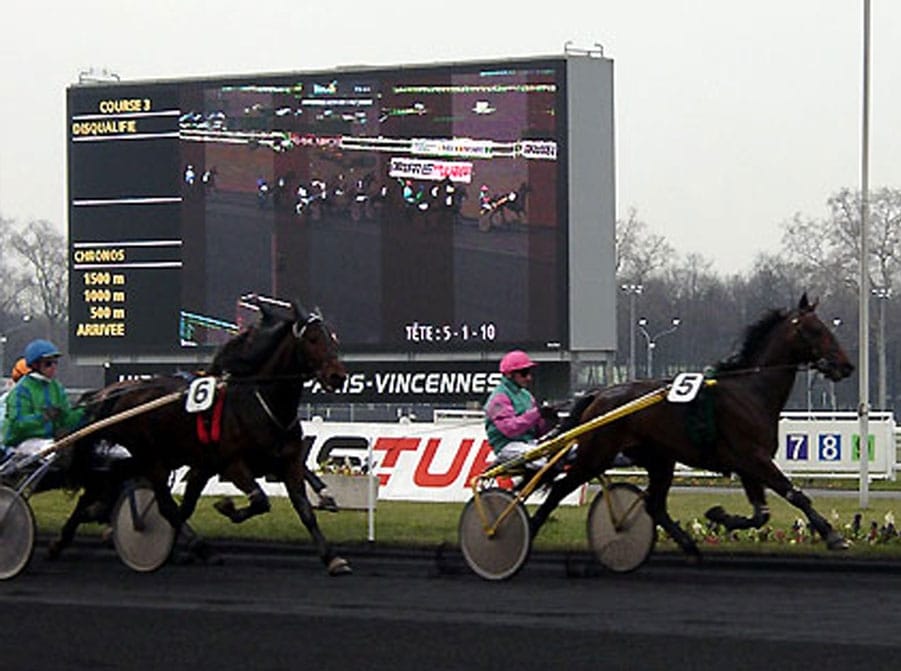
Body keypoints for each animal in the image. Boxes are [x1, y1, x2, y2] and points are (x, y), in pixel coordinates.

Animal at [49, 300, 352, 576]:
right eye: (313, 339)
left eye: (333, 338)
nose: (337, 376)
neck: (261, 403)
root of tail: (119, 392)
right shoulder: (232, 464)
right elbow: (259, 500)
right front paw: (226, 506)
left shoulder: (284, 463)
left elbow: (305, 510)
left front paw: (332, 558)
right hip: (152, 459)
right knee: (164, 505)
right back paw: (199, 546)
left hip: (153, 457)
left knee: (107, 484)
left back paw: (67, 536)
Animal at [532, 292, 856, 560]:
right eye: (816, 330)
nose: (846, 365)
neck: (751, 391)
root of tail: (598, 394)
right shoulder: (754, 458)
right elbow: (794, 494)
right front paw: (833, 535)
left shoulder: (748, 465)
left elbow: (761, 514)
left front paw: (721, 515)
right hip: (596, 455)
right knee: (559, 489)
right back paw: (530, 529)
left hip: (659, 460)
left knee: (655, 505)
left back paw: (689, 545)